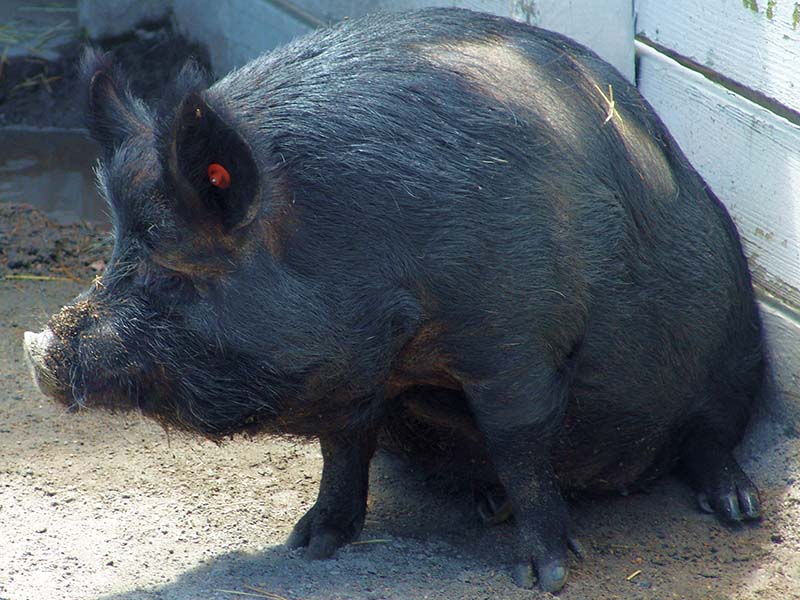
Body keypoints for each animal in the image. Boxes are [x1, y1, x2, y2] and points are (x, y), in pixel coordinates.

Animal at [21, 7, 764, 592]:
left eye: (174, 265)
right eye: (117, 246)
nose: (43, 349)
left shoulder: (513, 341)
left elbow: (520, 442)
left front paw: (545, 576)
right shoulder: (348, 368)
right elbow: (342, 444)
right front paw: (308, 545)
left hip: (732, 351)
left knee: (709, 434)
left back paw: (738, 508)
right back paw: (486, 502)